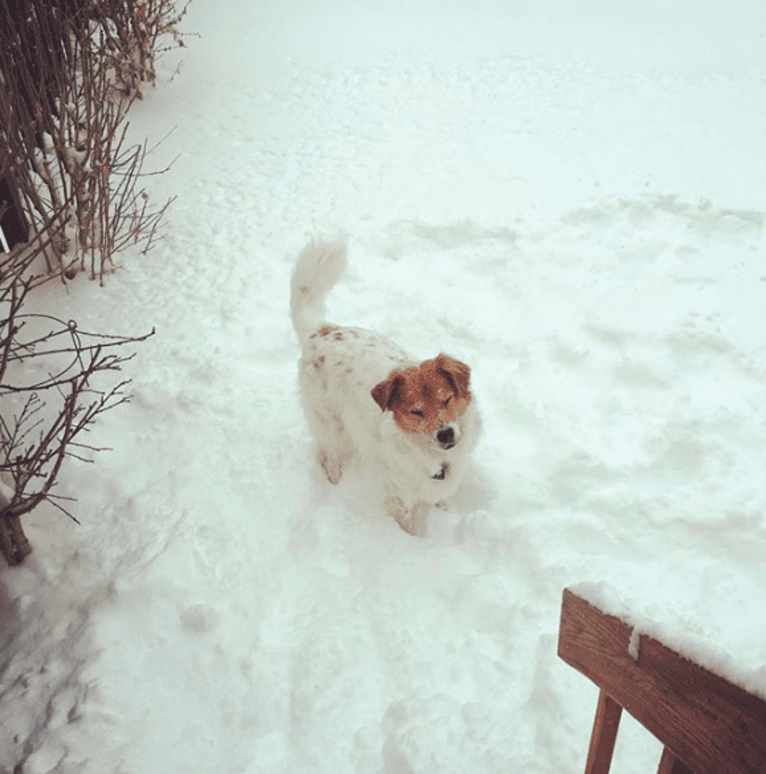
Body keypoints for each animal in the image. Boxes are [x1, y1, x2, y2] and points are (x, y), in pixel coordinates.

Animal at [292, 239, 480, 536]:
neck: (434, 457)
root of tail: (320, 331)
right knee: (330, 454)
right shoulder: (399, 496)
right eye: (416, 411)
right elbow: (407, 527)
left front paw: (445, 512)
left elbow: (442, 499)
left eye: (447, 399)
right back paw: (335, 480)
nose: (446, 434)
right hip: (330, 422)